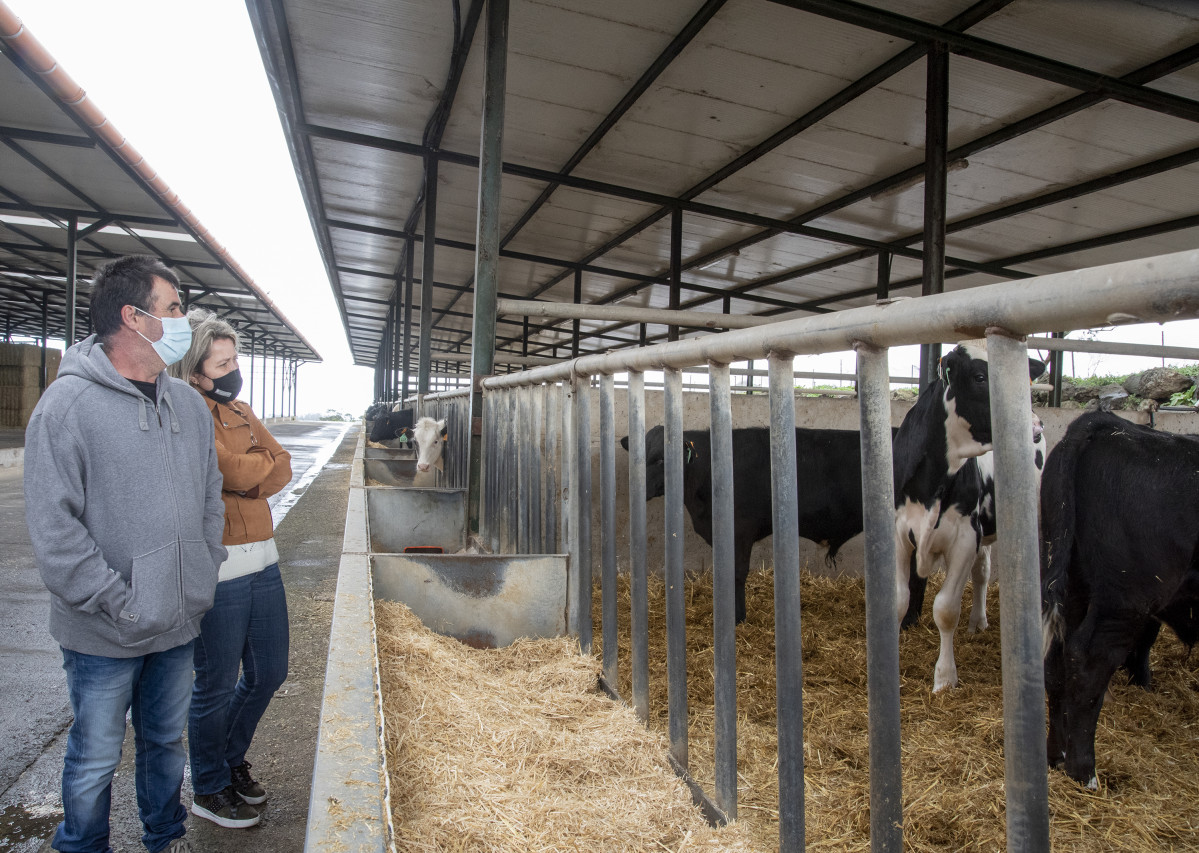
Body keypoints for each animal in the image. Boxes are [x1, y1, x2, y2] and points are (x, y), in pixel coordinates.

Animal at [896, 343, 1045, 691]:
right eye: (979, 377)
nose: (1034, 427)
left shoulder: (965, 537)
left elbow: (946, 609)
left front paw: (945, 678)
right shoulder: (897, 533)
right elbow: (899, 599)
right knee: (982, 571)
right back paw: (977, 621)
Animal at [1040, 410, 1199, 791]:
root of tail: (1107, 425)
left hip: (1073, 585)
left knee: (1058, 661)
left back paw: (1058, 756)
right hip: (1124, 598)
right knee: (1089, 660)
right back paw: (1084, 773)